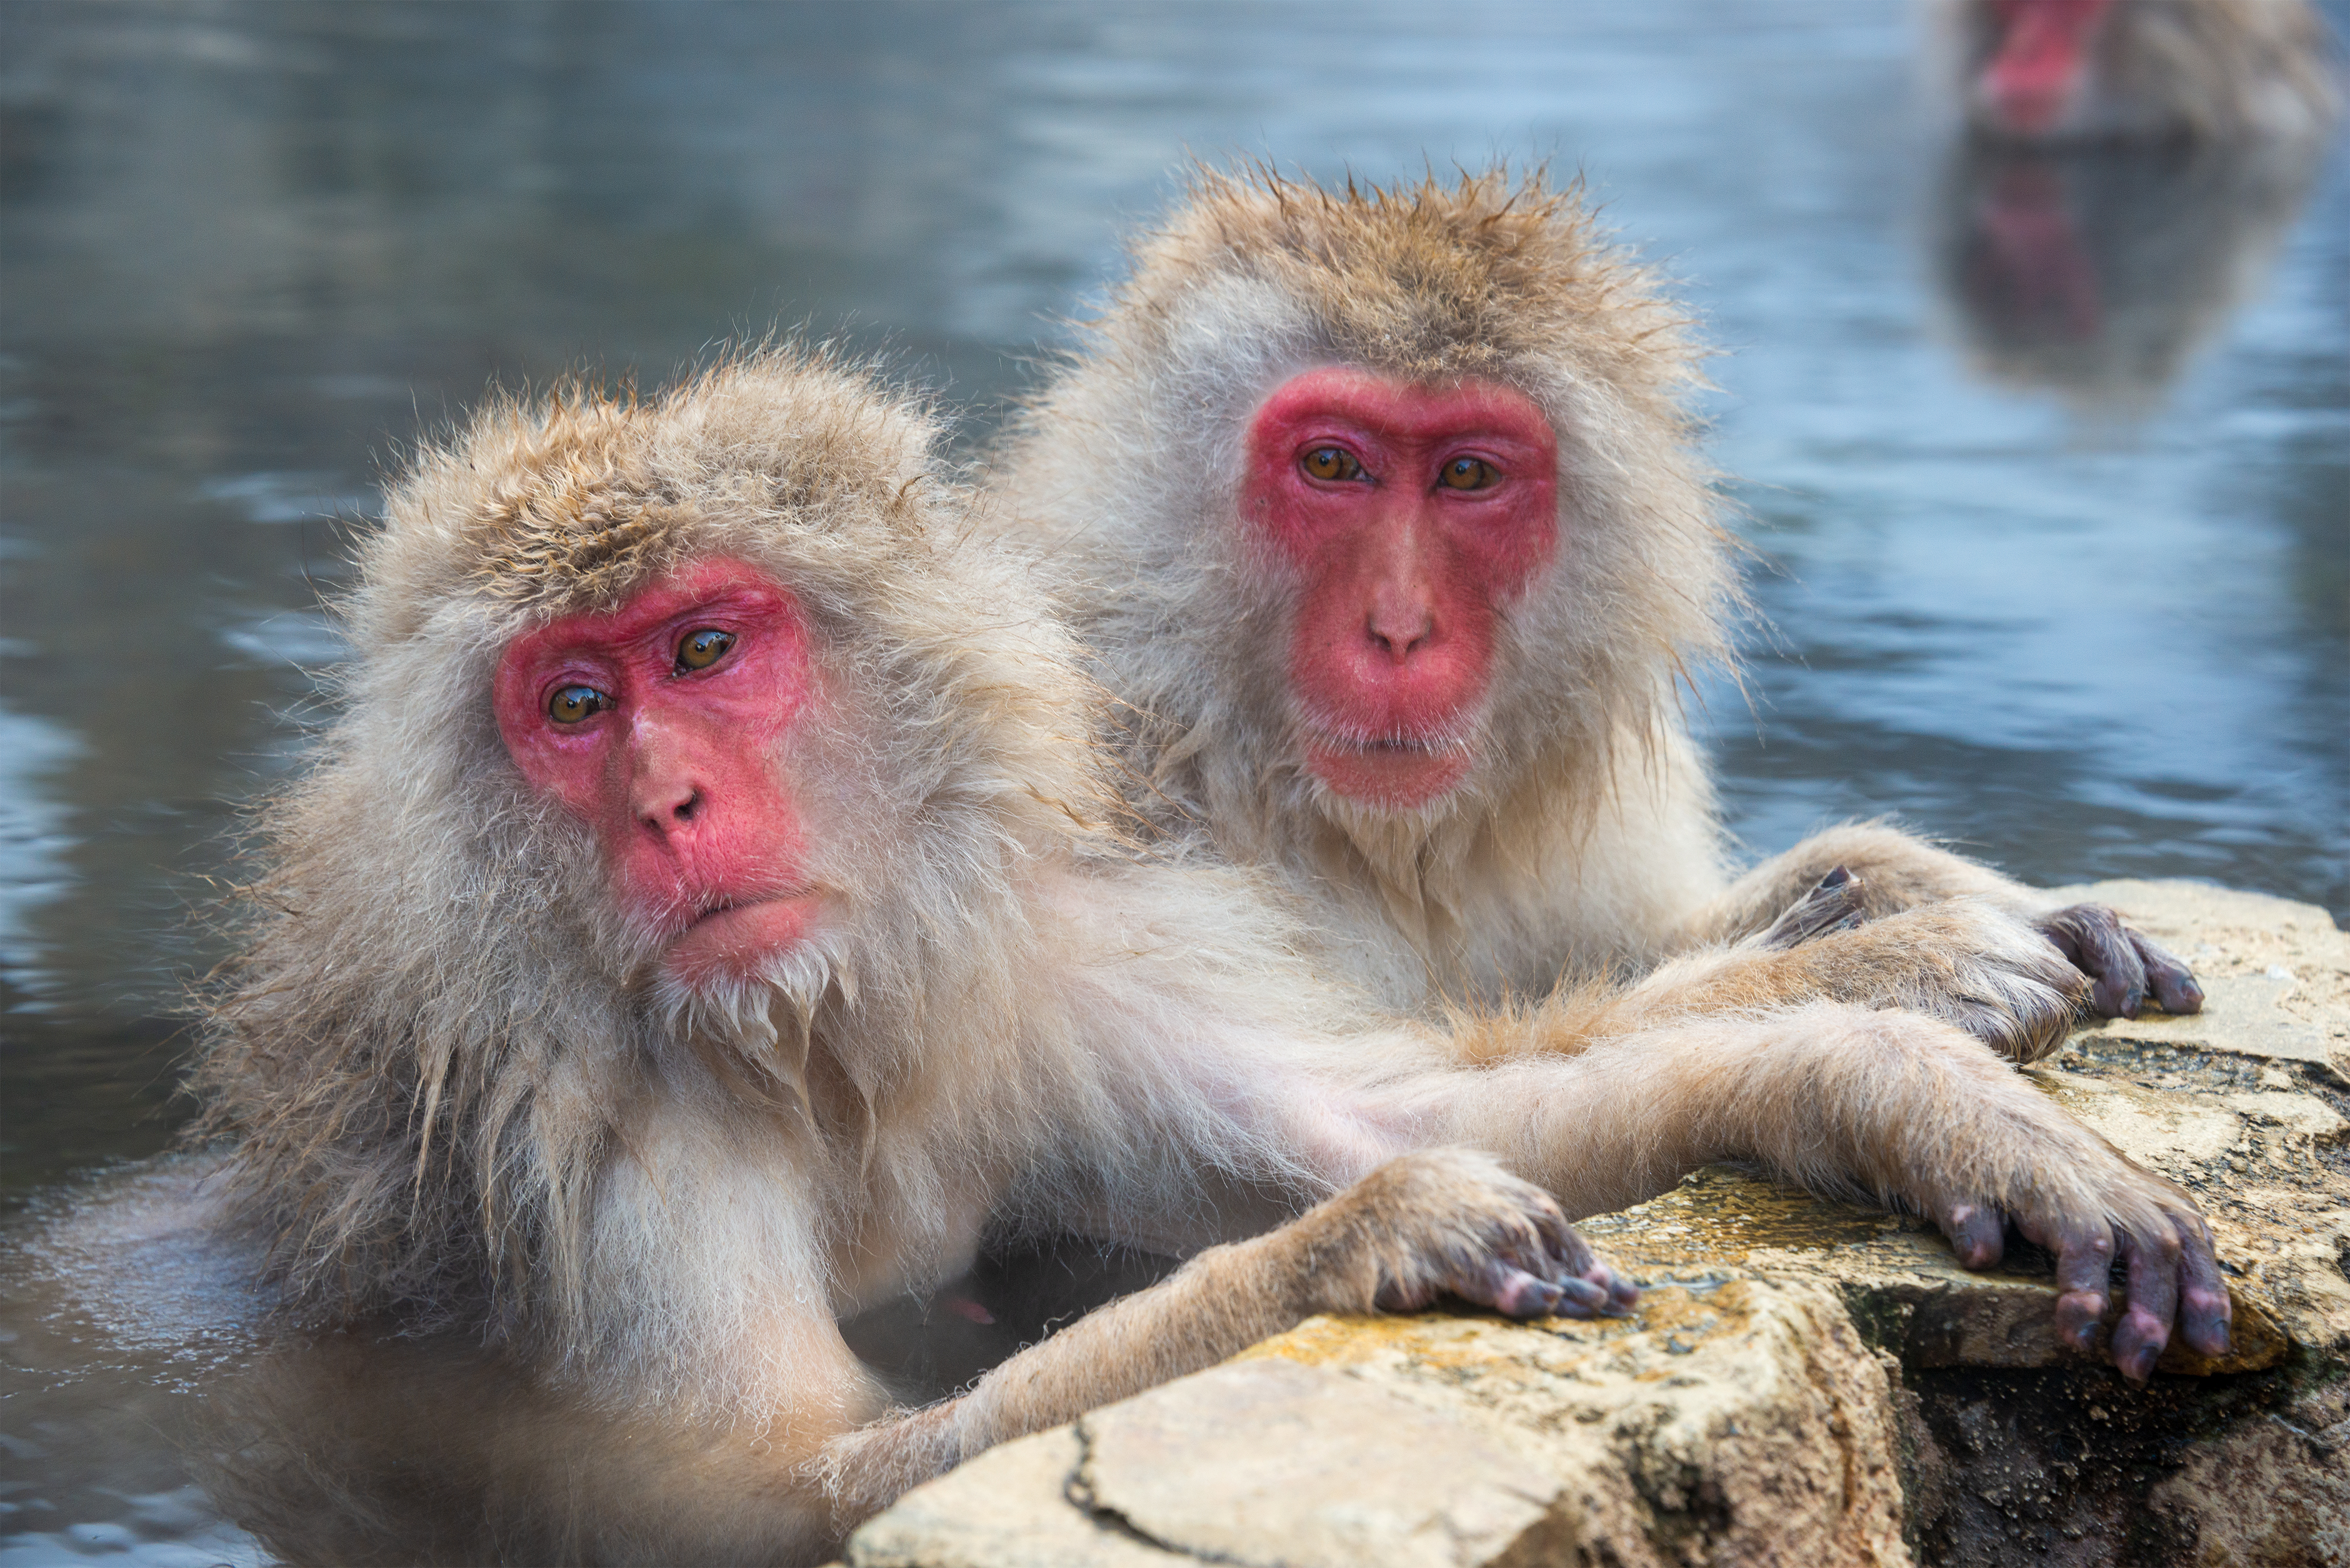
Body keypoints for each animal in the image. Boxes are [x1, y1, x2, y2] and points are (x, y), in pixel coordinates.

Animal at [191, 347, 2229, 1563]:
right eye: (574, 703)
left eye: (704, 649)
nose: (666, 803)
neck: (806, 1036)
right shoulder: (601, 1132)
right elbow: (770, 1490)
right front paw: (1354, 1246)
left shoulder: (1041, 971)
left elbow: (1395, 1106)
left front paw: (1891, 1065)